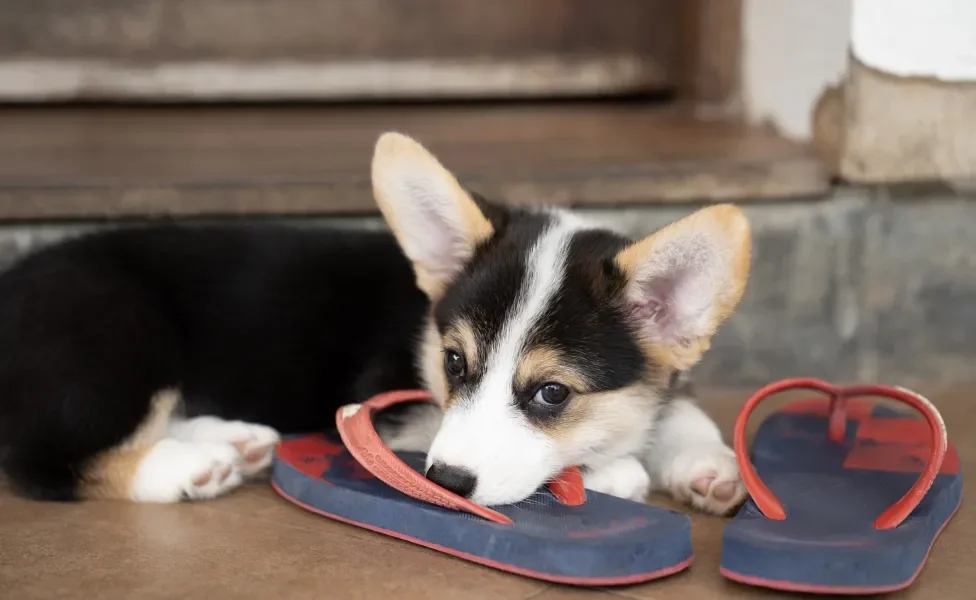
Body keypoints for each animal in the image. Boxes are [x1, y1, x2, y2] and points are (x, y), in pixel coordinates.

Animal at [0, 134, 752, 512]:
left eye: (552, 393)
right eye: (453, 363)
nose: (446, 482)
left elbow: (677, 411)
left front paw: (707, 468)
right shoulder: (387, 416)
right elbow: (599, 463)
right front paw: (617, 471)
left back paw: (232, 442)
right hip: (117, 332)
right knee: (43, 457)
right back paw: (190, 466)